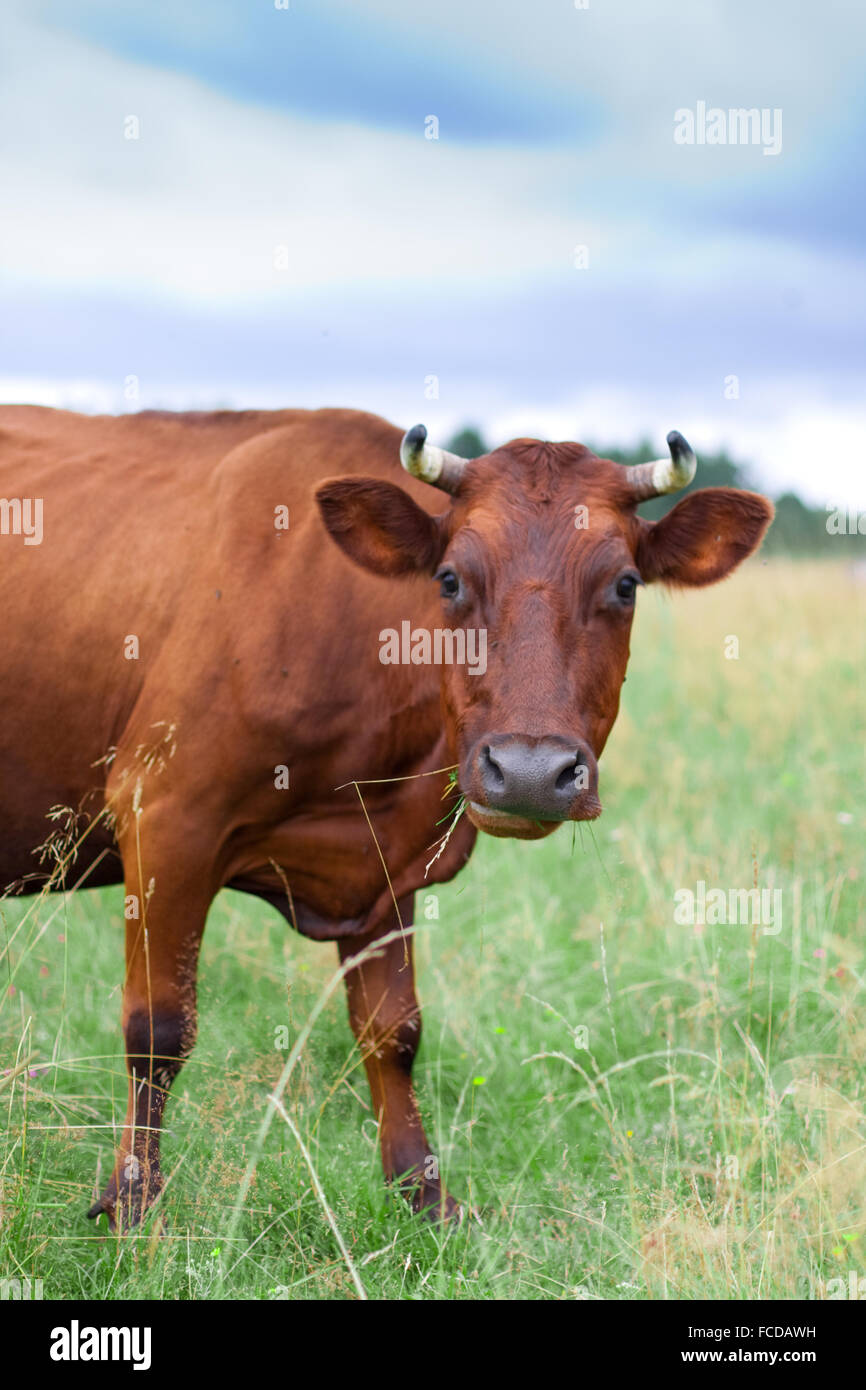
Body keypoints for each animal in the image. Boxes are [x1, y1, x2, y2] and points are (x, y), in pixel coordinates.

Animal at [0, 404, 773, 1228]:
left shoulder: (388, 865)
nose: (531, 772)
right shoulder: (164, 814)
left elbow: (393, 1033)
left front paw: (423, 1191)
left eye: (625, 584)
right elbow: (158, 1029)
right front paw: (131, 1205)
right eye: (450, 579)